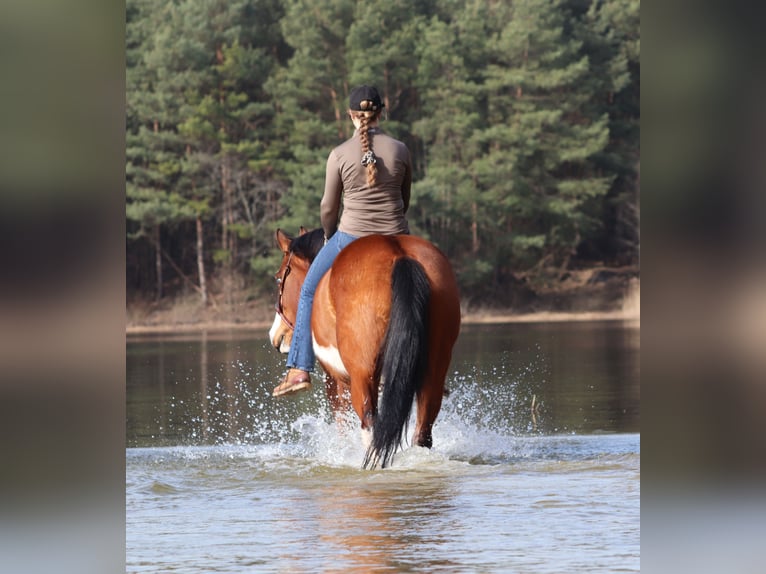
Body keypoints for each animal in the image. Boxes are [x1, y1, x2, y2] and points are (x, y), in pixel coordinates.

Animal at [268, 228, 461, 469]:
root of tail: (399, 255)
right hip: (433, 370)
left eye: (279, 277)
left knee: (371, 425)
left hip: (363, 375)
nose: (275, 336)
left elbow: (342, 424)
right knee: (422, 431)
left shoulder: (337, 381)